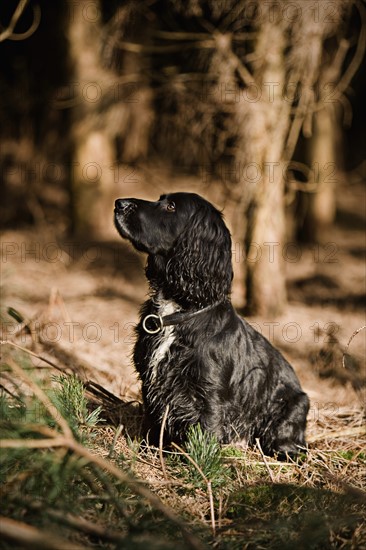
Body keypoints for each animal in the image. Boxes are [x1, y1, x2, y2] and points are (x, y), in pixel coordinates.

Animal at [115, 194, 308, 458]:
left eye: (171, 206)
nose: (119, 203)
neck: (180, 309)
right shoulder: (150, 381)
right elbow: (154, 425)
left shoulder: (210, 394)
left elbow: (205, 434)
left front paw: (198, 463)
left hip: (291, 412)